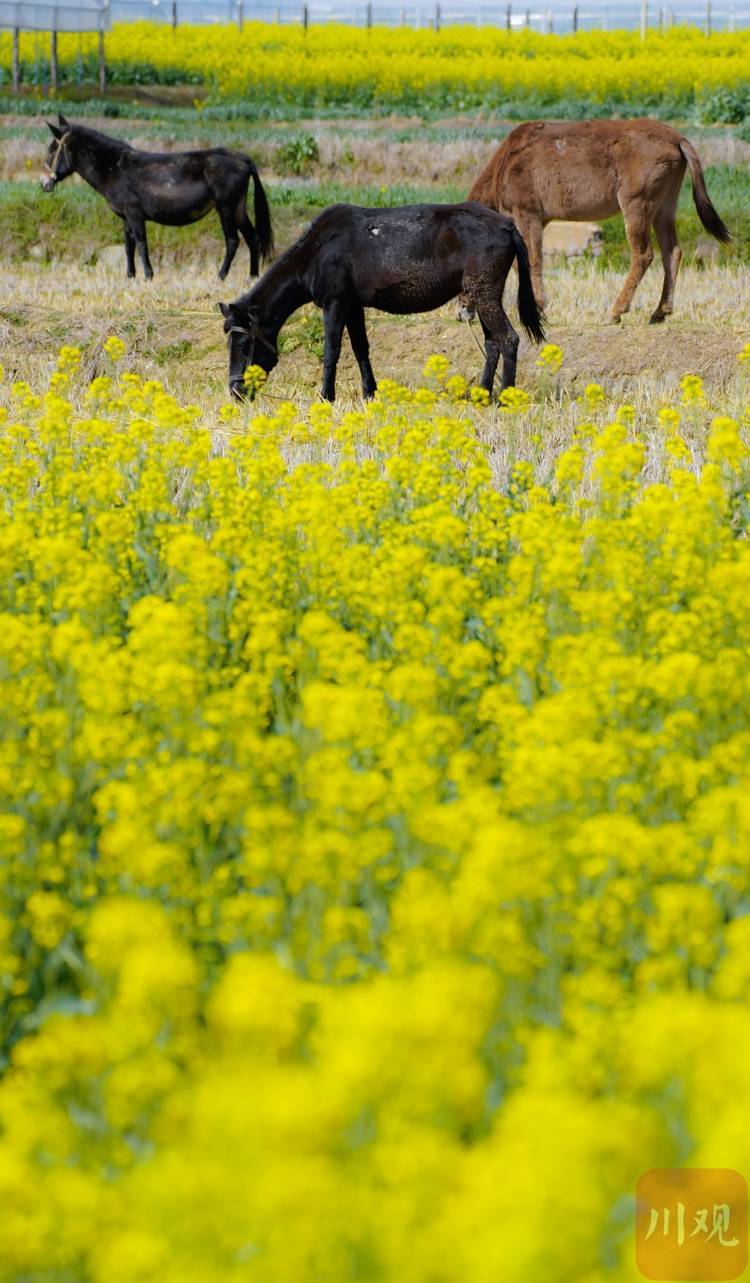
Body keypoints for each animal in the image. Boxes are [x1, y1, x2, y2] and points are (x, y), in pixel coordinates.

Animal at [41, 114, 274, 280]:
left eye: (52, 150)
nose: (43, 184)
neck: (113, 168)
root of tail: (243, 158)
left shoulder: (134, 213)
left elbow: (142, 243)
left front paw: (148, 276)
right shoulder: (125, 217)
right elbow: (128, 246)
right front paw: (130, 276)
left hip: (225, 207)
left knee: (233, 240)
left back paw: (221, 276)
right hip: (238, 206)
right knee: (252, 237)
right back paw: (253, 276)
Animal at [219, 201, 541, 400]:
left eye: (243, 343)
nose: (234, 391)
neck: (317, 251)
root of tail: (507, 225)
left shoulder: (335, 304)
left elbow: (331, 350)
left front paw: (325, 397)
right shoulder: (352, 306)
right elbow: (360, 348)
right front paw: (369, 393)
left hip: (485, 294)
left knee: (508, 339)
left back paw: (503, 397)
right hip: (481, 294)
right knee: (492, 343)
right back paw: (482, 395)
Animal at [471, 119, 728, 325]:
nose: (466, 312)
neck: (506, 162)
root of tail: (677, 139)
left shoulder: (528, 214)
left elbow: (532, 261)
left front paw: (539, 310)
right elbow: (520, 263)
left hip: (637, 206)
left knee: (643, 255)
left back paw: (615, 312)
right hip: (664, 207)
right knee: (672, 252)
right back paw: (659, 312)